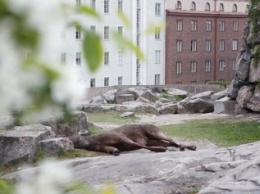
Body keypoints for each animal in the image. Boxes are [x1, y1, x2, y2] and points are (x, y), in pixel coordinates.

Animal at [69, 124, 197, 156]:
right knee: (170, 142)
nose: (84, 145)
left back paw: (190, 146)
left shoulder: (119, 136)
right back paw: (186, 147)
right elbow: (111, 149)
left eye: (75, 139)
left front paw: (160, 149)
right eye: (74, 143)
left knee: (170, 139)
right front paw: (115, 151)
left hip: (155, 132)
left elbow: (137, 144)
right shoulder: (103, 147)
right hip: (153, 139)